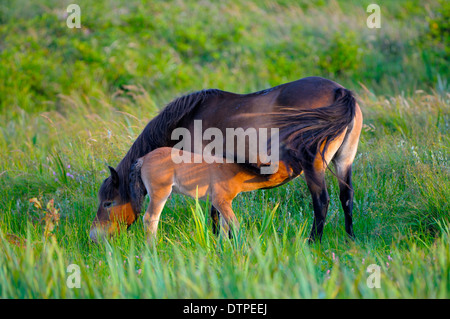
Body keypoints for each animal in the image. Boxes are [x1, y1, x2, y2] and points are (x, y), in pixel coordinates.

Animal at [89, 76, 364, 244]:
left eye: (108, 203)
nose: (94, 236)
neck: (189, 118)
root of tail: (340, 91)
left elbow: (214, 210)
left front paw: (215, 239)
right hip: (344, 161)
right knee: (346, 198)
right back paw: (350, 239)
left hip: (314, 166)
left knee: (322, 202)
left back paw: (312, 243)